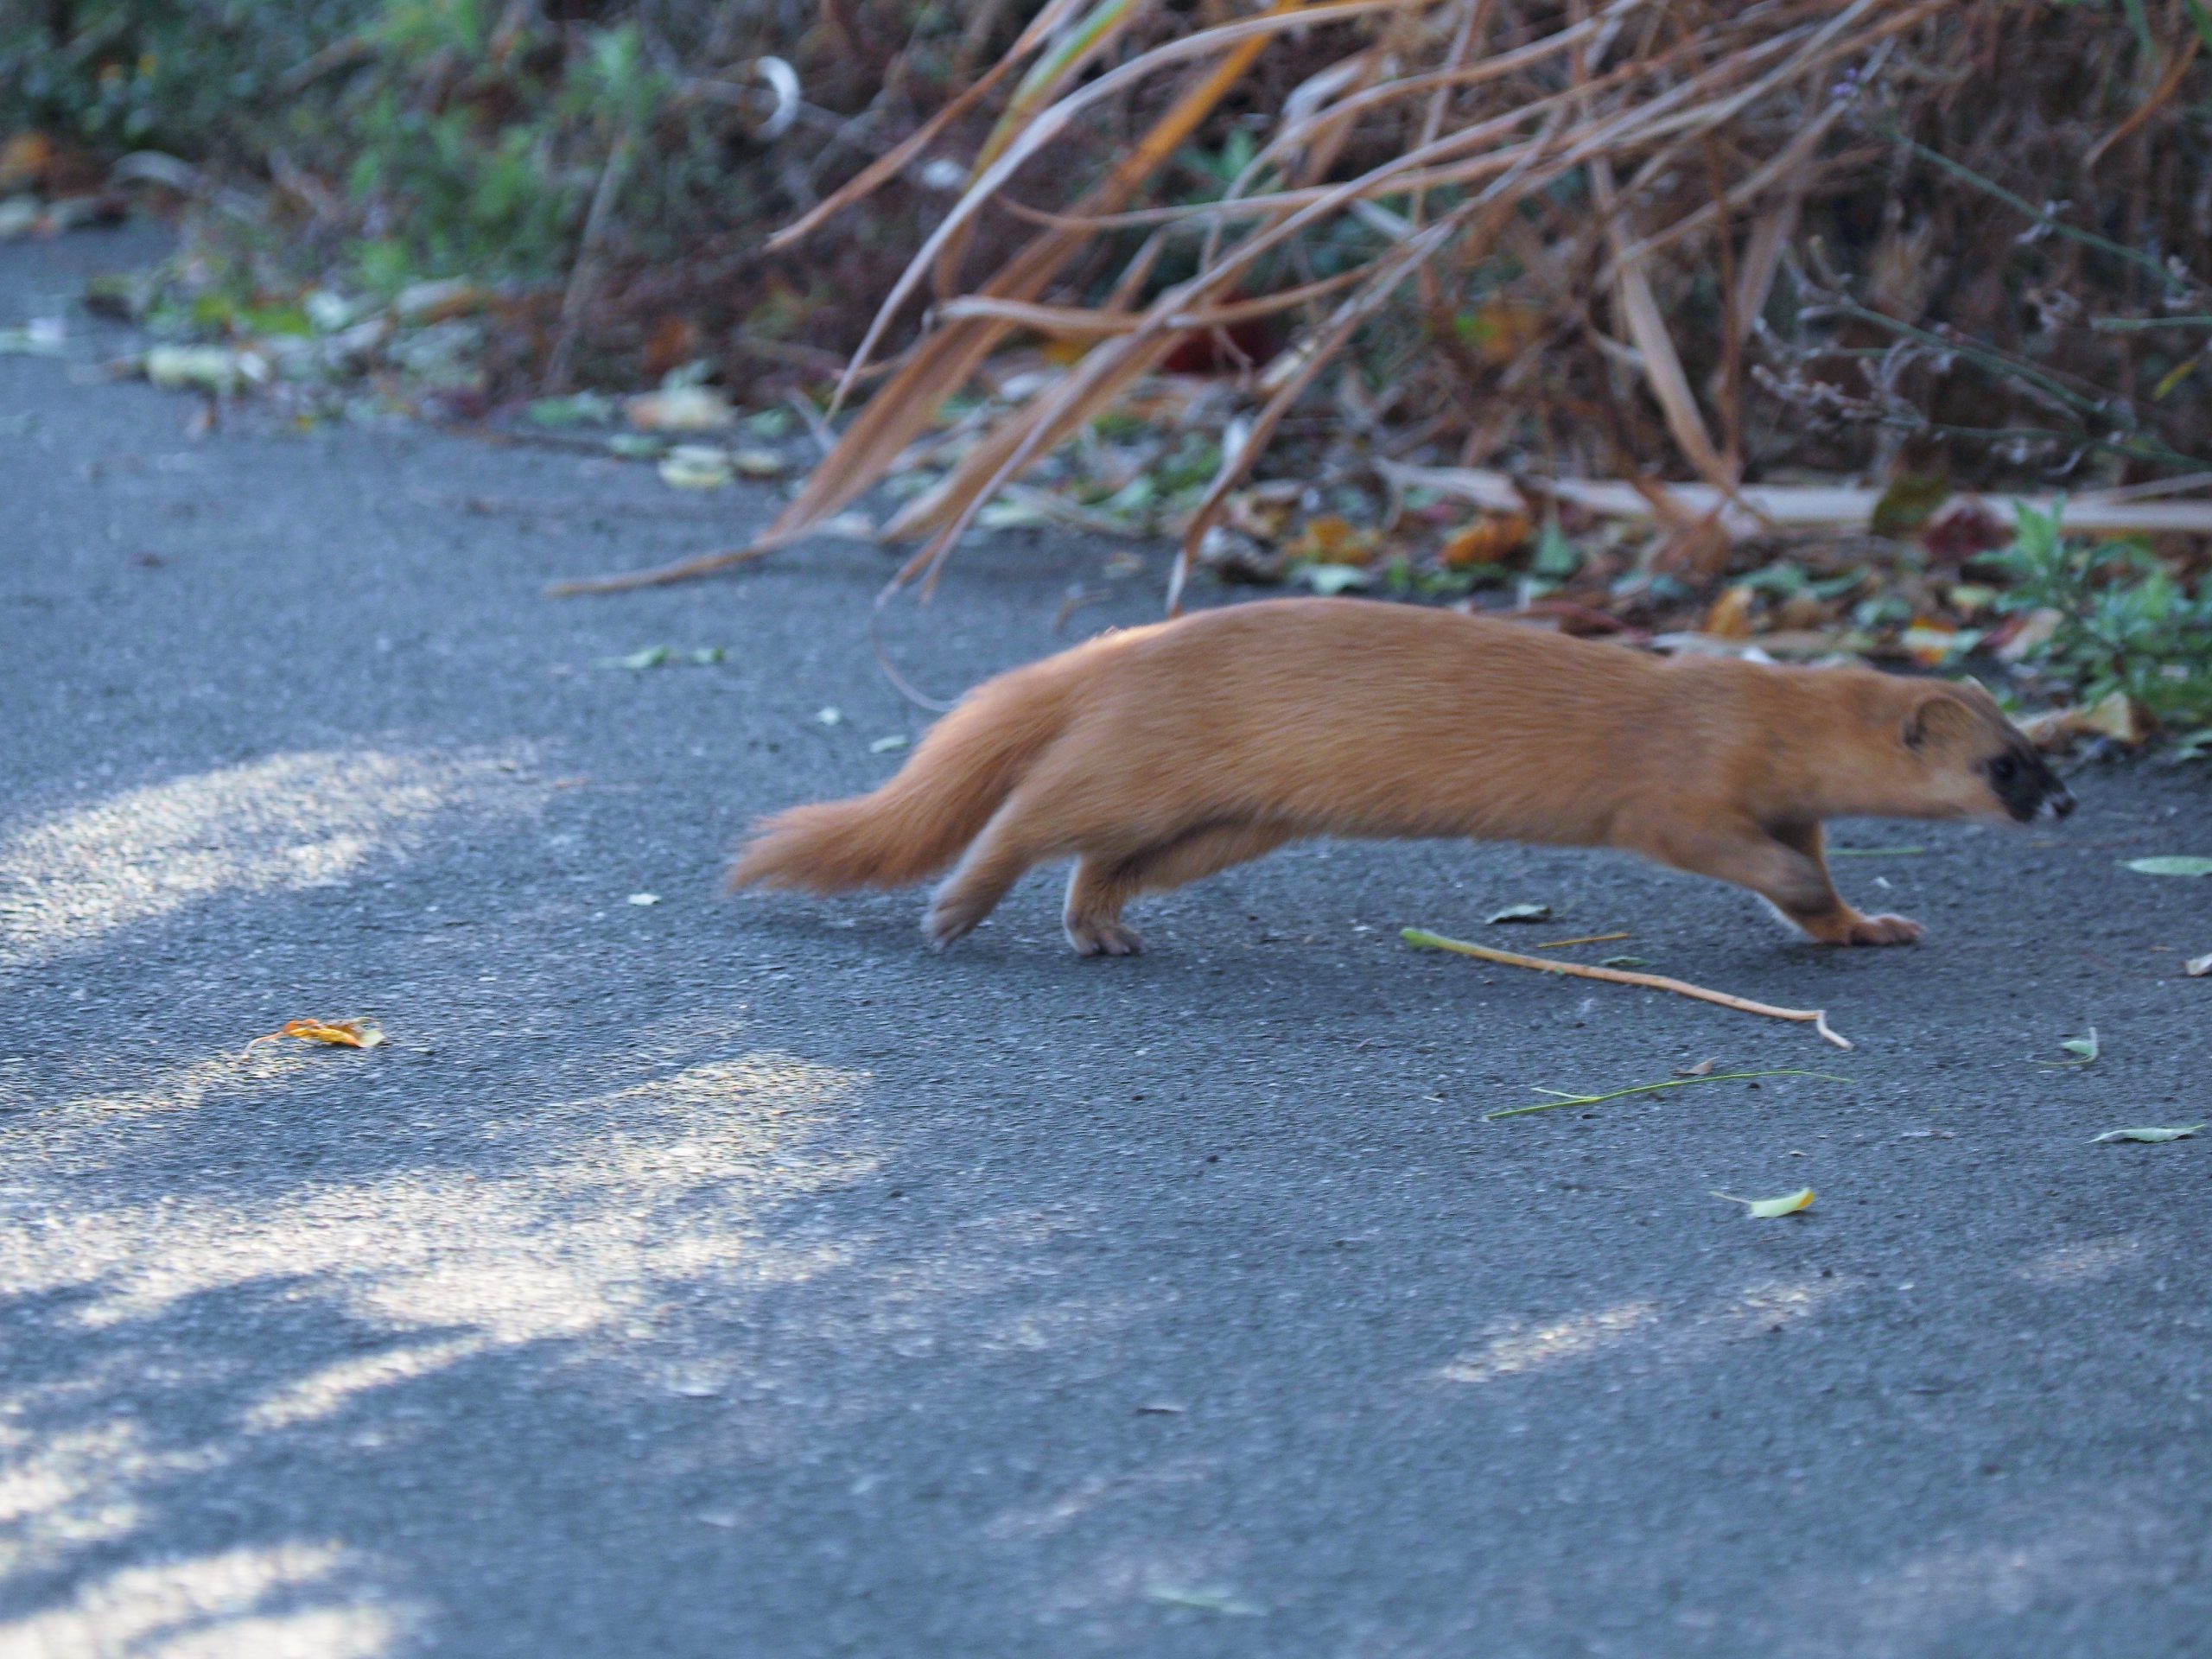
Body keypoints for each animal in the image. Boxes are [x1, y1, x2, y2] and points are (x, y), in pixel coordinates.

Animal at [729, 601, 2070, 960]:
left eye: (2047, 740)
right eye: (2005, 761)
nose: (2064, 803)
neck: (1753, 707)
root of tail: (1118, 648)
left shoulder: (1791, 800)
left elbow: (1815, 884)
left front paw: (1871, 924)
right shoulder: (1682, 790)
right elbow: (1717, 843)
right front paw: (1804, 893)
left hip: (1234, 820)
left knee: (1104, 858)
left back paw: (1102, 931)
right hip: (1140, 761)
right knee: (1030, 813)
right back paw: (956, 910)